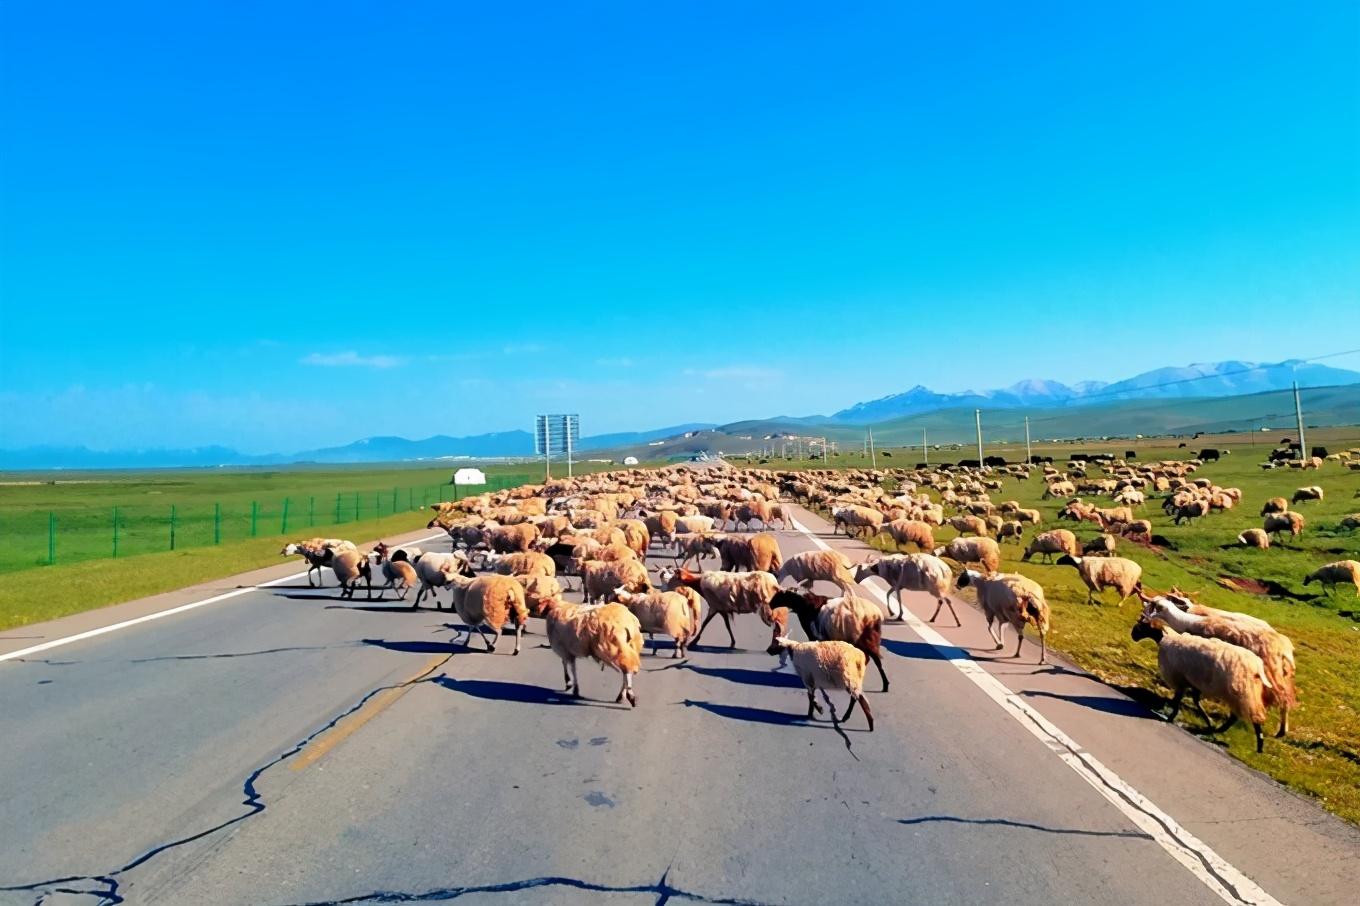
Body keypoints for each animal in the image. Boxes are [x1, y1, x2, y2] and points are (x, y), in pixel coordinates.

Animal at [1126, 614, 1272, 756]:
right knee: (1240, 716)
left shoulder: (1179, 679)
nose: (1132, 635)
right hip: (1244, 692)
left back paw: (1257, 742)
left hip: (1241, 691)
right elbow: (1196, 701)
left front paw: (1171, 716)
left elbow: (1178, 700)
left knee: (1245, 716)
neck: (1167, 638)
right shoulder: (1191, 681)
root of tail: (1257, 667)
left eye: (1141, 626)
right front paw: (1208, 721)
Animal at [1136, 595, 1294, 740]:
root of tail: (1285, 650)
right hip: (1281, 677)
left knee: (1281, 700)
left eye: (1152, 606)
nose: (1142, 616)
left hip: (1269, 676)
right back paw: (1279, 730)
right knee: (1284, 700)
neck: (1186, 621)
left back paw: (1279, 730)